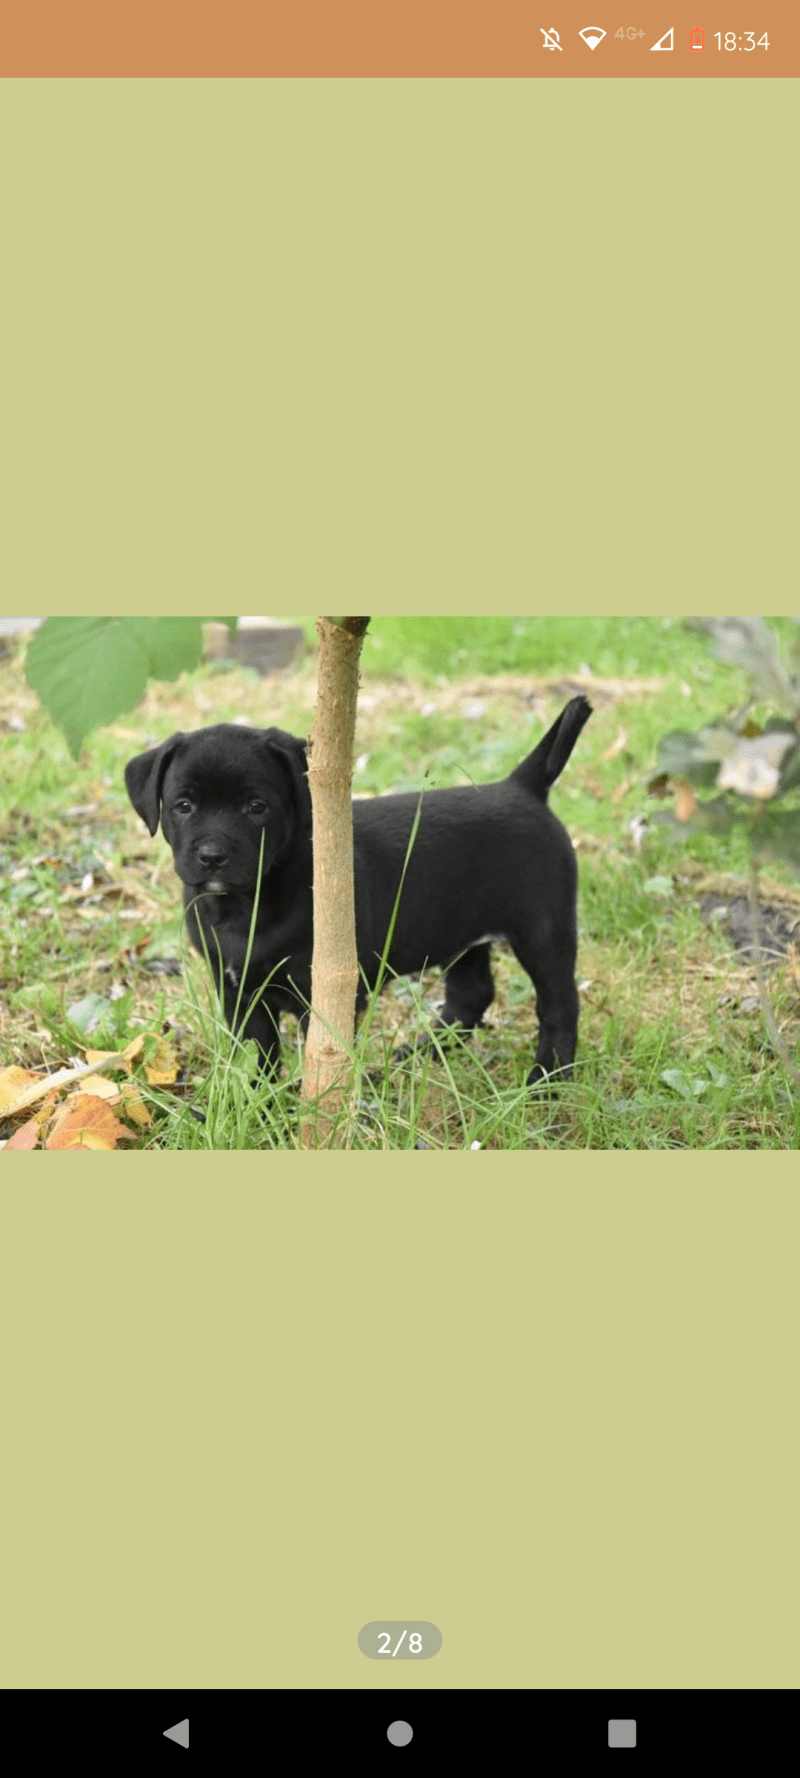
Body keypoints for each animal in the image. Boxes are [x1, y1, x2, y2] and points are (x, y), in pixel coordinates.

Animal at [123, 693, 586, 1081]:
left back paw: (547, 1081)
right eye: (184, 806)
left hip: (544, 930)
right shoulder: (238, 992)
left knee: (558, 1006)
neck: (245, 906)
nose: (213, 855)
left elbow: (319, 1055)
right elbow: (259, 1052)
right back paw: (422, 1053)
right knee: (471, 995)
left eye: (257, 807)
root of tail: (523, 786)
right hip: (461, 931)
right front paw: (260, 1101)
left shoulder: (323, 992)